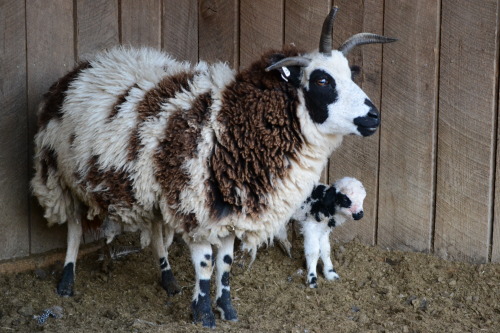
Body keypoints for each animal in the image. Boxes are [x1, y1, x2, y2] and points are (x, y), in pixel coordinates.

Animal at [31, 6, 396, 326]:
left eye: (350, 75)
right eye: (321, 80)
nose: (373, 117)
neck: (231, 124)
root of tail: (84, 65)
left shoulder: (228, 207)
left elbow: (226, 263)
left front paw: (227, 309)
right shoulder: (196, 207)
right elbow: (206, 265)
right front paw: (204, 314)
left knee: (155, 230)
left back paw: (168, 280)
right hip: (61, 172)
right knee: (74, 226)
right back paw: (66, 281)